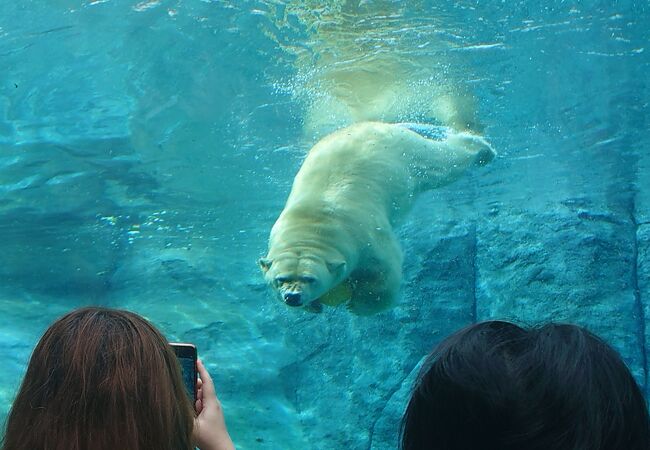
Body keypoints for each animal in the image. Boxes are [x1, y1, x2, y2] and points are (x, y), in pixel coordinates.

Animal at [256, 121, 492, 314]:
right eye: (280, 279)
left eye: (310, 279)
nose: (292, 297)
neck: (316, 223)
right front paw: (313, 306)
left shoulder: (365, 235)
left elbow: (385, 272)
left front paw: (359, 306)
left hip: (409, 154)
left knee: (443, 162)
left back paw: (481, 149)